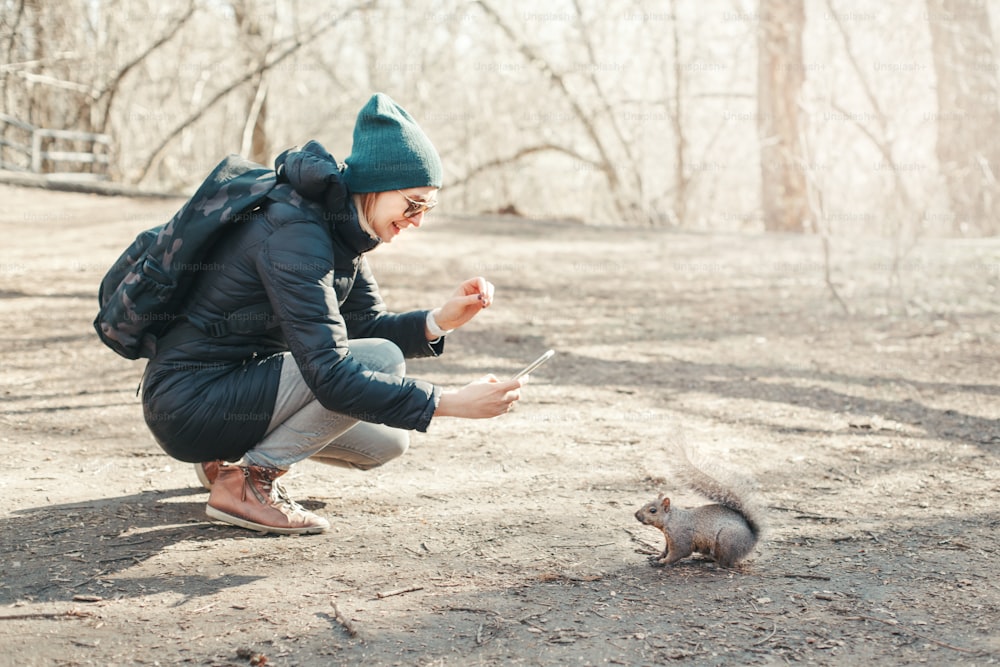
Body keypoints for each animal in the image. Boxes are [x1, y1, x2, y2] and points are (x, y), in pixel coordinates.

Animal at [632, 444, 764, 568]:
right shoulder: (668, 540)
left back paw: (712, 565)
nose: (636, 514)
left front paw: (663, 562)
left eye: (653, 510)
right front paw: (657, 557)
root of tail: (752, 539)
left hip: (726, 540)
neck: (670, 520)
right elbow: (666, 551)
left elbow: (679, 552)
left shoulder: (681, 537)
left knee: (725, 563)